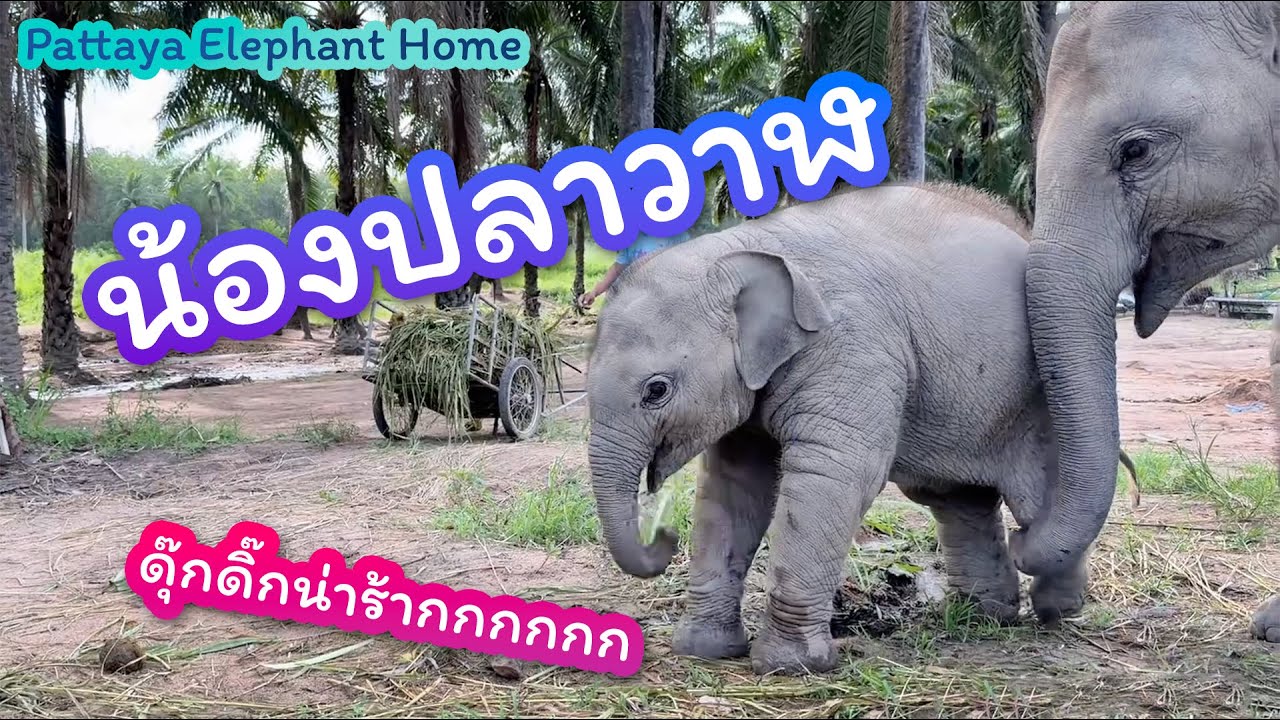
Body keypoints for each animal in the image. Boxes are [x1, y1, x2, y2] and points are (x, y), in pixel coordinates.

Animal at [585, 181, 1139, 676]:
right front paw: (705, 651)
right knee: (957, 499)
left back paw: (1056, 609)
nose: (663, 537)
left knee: (1037, 497)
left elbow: (833, 476)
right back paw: (981, 617)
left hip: (1038, 400)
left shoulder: (853, 344)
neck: (740, 247)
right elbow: (733, 485)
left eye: (656, 390)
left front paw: (791, 666)